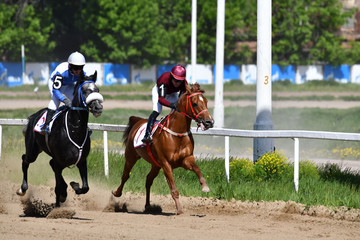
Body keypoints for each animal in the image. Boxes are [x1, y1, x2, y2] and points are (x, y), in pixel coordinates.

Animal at [17, 71, 104, 206]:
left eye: (97, 90)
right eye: (84, 90)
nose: (98, 107)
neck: (74, 129)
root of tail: (33, 116)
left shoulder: (82, 161)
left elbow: (85, 187)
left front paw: (74, 185)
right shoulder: (58, 162)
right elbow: (59, 187)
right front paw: (63, 196)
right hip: (32, 151)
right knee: (25, 160)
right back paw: (23, 188)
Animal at [112, 82, 214, 214]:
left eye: (206, 101)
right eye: (195, 103)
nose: (209, 122)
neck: (177, 134)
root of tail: (138, 120)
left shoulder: (186, 159)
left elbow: (197, 168)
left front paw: (205, 186)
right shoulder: (166, 164)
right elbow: (173, 189)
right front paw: (179, 210)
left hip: (155, 164)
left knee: (148, 180)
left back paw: (148, 206)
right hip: (131, 156)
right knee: (125, 175)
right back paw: (116, 193)